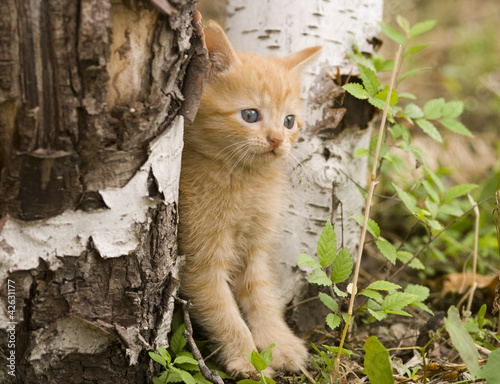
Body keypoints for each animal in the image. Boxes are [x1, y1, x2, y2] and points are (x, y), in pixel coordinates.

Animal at [179, 21, 320, 378]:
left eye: (289, 121)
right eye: (250, 115)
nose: (277, 140)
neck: (243, 182)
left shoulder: (257, 247)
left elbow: (263, 297)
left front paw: (279, 344)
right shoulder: (200, 258)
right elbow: (222, 309)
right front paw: (246, 358)